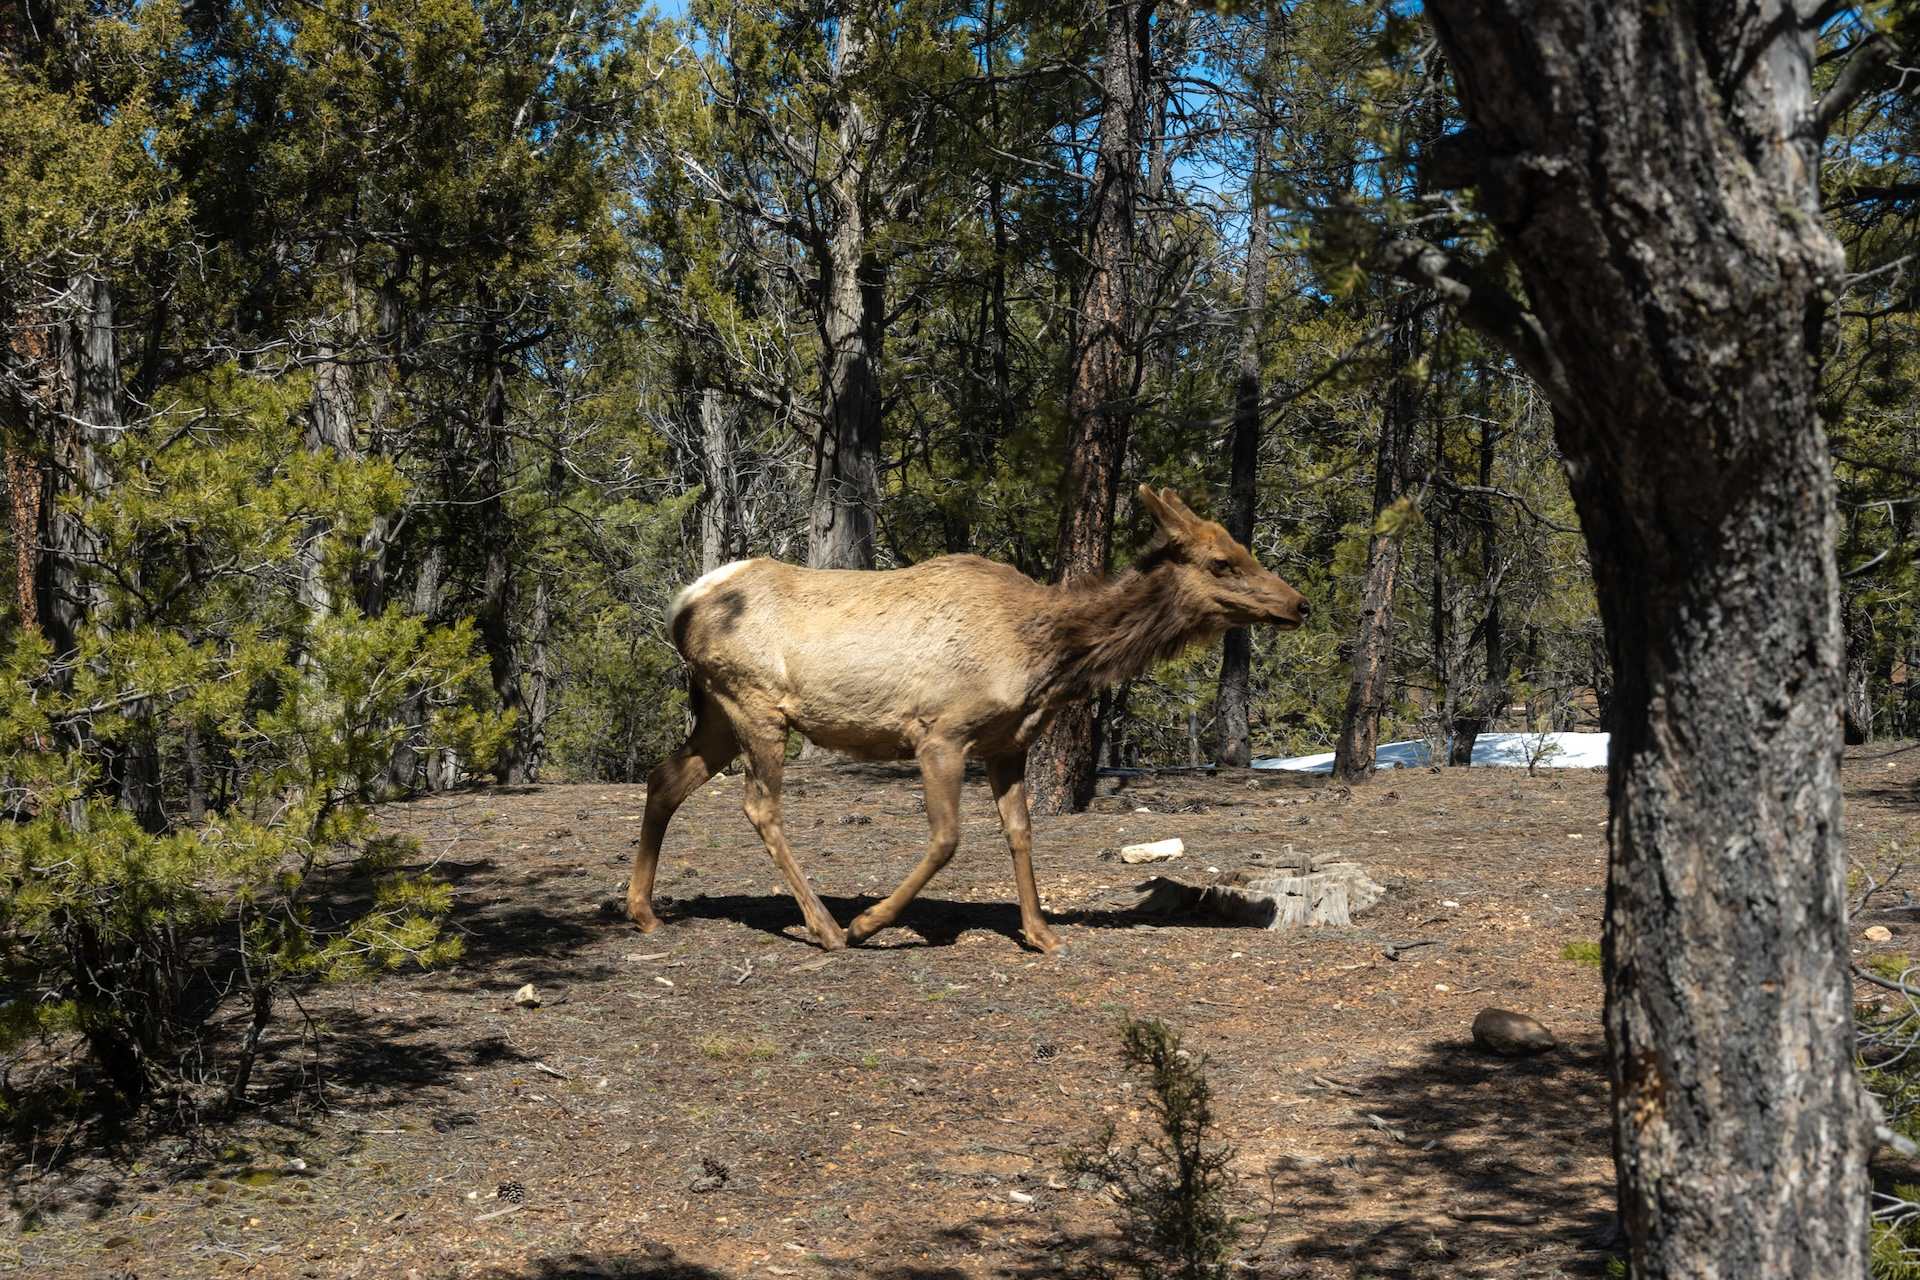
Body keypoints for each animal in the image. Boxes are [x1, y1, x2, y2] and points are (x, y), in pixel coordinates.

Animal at [622, 485, 1313, 955]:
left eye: (1243, 548)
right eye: (1221, 562)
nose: (1299, 603)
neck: (1046, 659)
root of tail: (680, 606)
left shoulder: (1009, 744)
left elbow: (1021, 831)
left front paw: (1040, 931)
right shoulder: (940, 732)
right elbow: (948, 837)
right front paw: (871, 921)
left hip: (716, 710)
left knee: (664, 778)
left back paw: (646, 912)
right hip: (755, 703)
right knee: (759, 805)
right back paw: (826, 925)